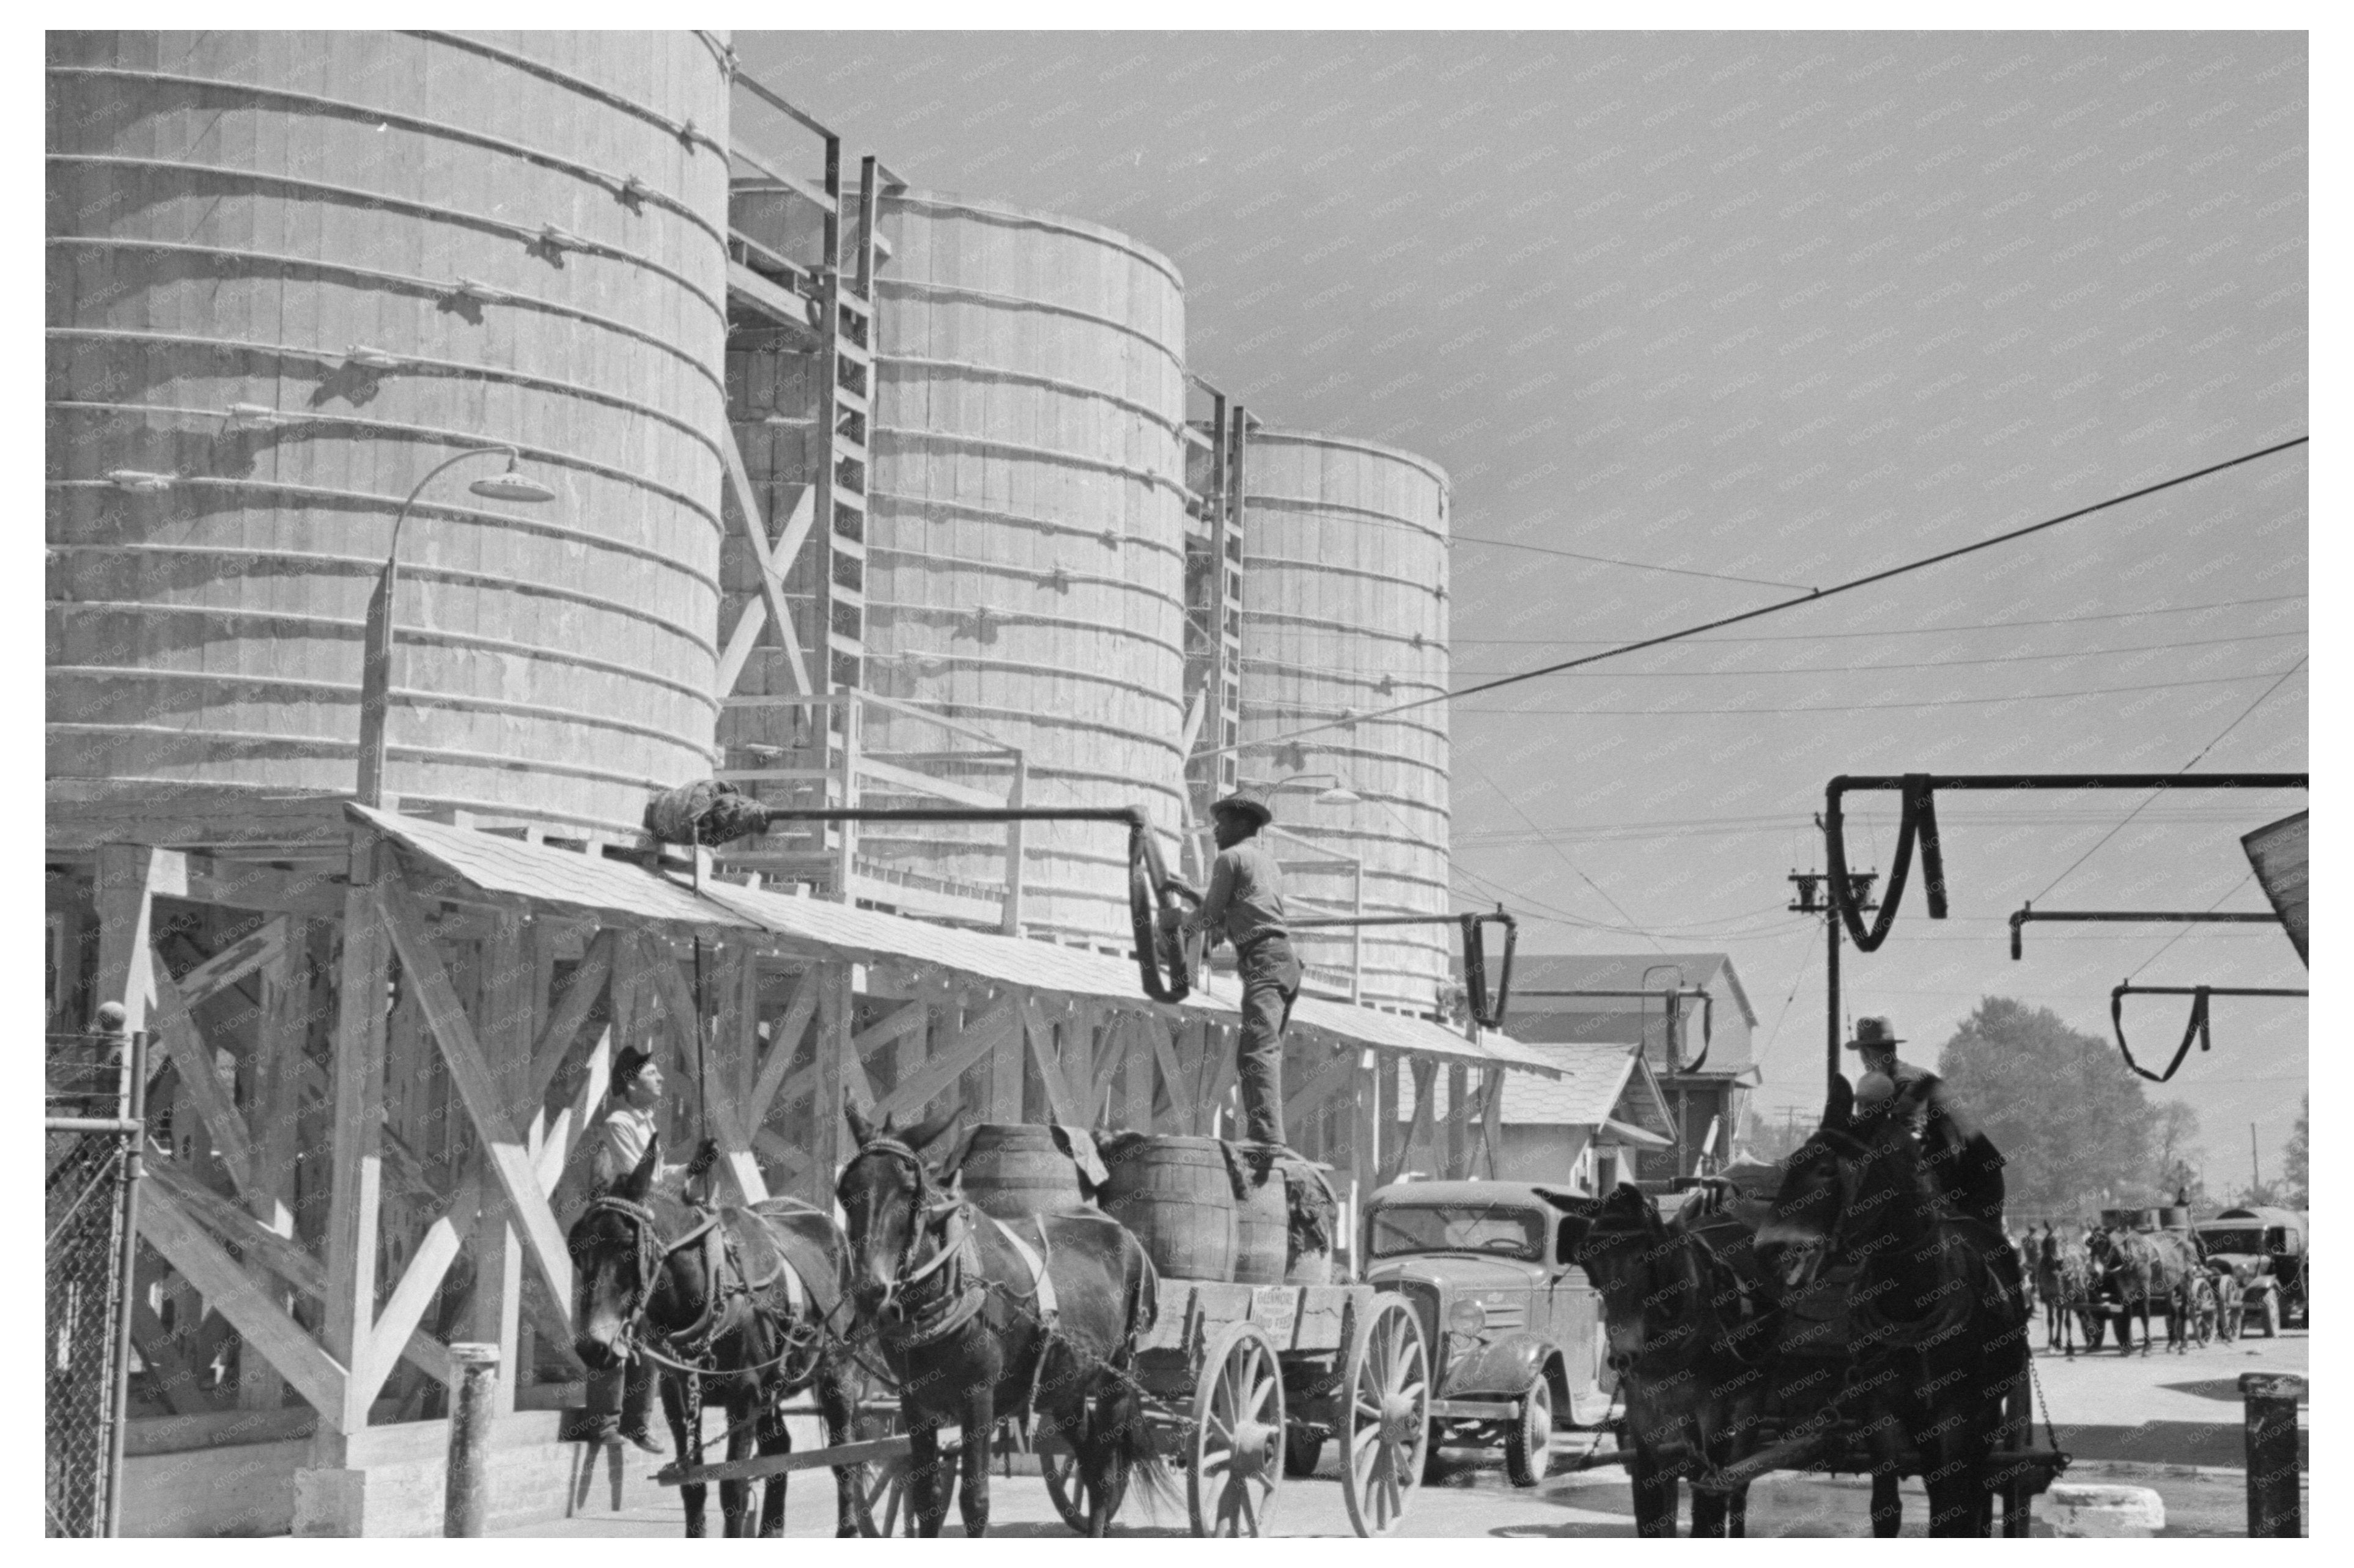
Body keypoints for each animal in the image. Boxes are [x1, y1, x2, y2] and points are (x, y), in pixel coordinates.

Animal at [565, 1130, 871, 1535]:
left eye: (629, 1246)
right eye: (575, 1248)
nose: (593, 1346)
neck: (711, 1286)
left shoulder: (744, 1394)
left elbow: (733, 1486)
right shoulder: (678, 1395)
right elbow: (693, 1485)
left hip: (836, 1370)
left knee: (843, 1453)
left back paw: (848, 1526)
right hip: (772, 1386)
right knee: (778, 1449)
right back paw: (772, 1528)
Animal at [833, 1106, 1172, 1535]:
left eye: (910, 1192)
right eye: (846, 1192)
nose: (870, 1289)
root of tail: (1124, 1233)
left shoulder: (978, 1397)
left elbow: (974, 1502)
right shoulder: (915, 1403)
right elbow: (926, 1498)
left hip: (1118, 1374)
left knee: (1106, 1472)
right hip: (1067, 1388)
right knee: (1092, 1460)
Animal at [1572, 1177, 1770, 1535]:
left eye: (1644, 1256)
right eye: (1588, 1262)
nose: (1621, 1357)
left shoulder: (1714, 1409)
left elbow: (1710, 1499)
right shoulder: (1642, 1415)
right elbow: (1651, 1503)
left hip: (1753, 1396)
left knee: (1738, 1484)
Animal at [1760, 1083, 2034, 1535]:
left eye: (1827, 1171)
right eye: (1793, 1162)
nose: (1767, 1246)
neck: (1914, 1300)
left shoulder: (1957, 1414)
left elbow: (1952, 1510)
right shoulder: (1880, 1410)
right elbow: (1886, 1508)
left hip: (1986, 1413)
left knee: (1975, 1487)